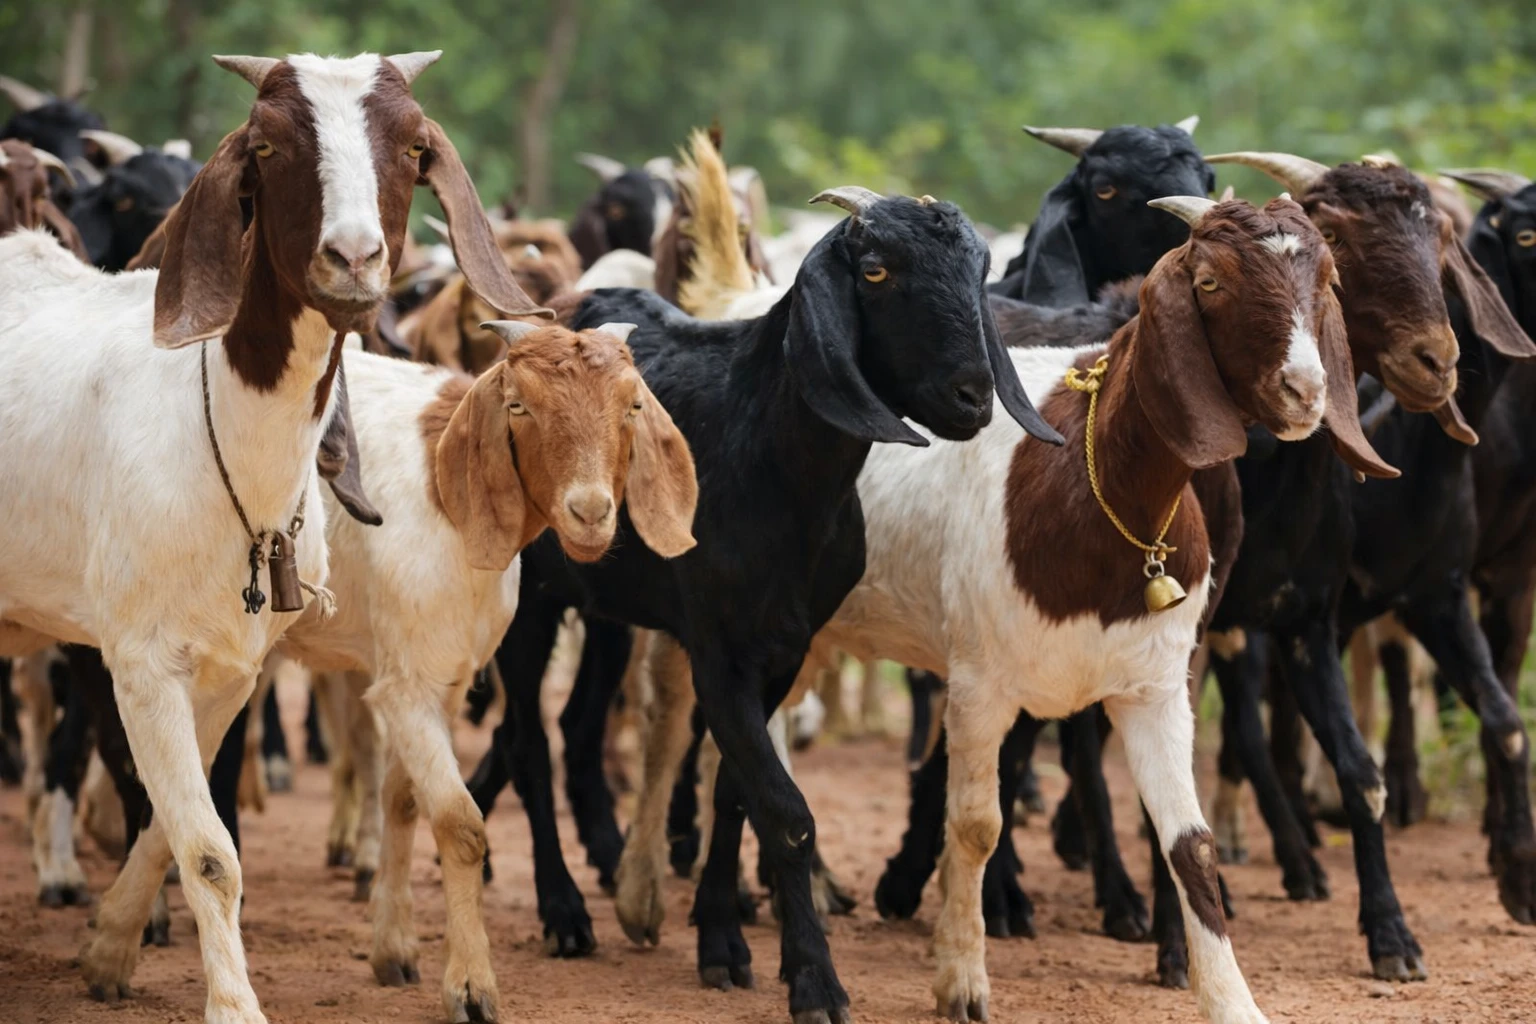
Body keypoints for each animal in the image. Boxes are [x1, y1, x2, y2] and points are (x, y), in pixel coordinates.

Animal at [0, 51, 547, 1023]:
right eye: (265, 146)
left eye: (414, 148)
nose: (354, 259)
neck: (215, 424)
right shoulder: (140, 661)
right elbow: (210, 849)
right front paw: (231, 1002)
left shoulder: (229, 670)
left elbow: (174, 826)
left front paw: (108, 948)